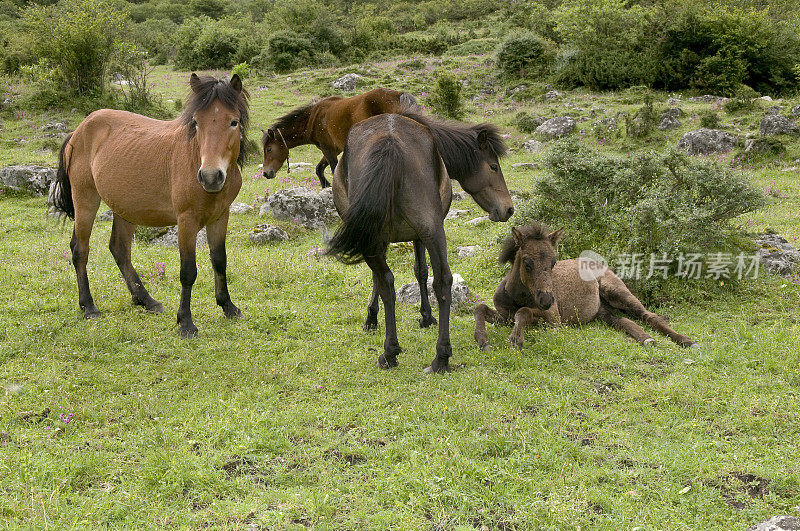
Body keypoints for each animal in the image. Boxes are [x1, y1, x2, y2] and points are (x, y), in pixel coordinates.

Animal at [51, 73, 248, 338]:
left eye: (233, 122)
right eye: (196, 123)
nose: (210, 177)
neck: (194, 156)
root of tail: (78, 130)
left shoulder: (220, 216)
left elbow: (219, 261)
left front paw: (228, 306)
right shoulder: (186, 220)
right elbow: (188, 271)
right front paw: (185, 322)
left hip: (124, 209)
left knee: (119, 249)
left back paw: (146, 300)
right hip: (85, 199)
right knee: (80, 249)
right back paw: (89, 306)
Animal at [260, 87, 418, 187]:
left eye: (269, 149)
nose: (266, 173)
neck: (314, 117)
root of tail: (399, 95)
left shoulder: (328, 149)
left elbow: (334, 170)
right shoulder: (333, 149)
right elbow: (319, 169)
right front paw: (326, 185)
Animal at [328, 112, 516, 374]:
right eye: (494, 166)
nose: (508, 209)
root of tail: (390, 141)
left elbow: (399, 275)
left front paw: (377, 318)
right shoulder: (410, 235)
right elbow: (420, 273)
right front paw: (423, 317)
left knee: (387, 282)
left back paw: (390, 352)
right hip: (432, 230)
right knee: (442, 281)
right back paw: (441, 357)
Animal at [472, 223, 696, 352]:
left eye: (553, 262)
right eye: (527, 262)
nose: (547, 300)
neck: (516, 296)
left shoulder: (554, 320)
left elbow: (524, 312)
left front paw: (516, 339)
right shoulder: (503, 316)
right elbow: (479, 308)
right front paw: (483, 340)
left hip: (617, 292)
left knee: (649, 316)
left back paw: (686, 340)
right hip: (603, 312)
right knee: (623, 321)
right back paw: (646, 339)